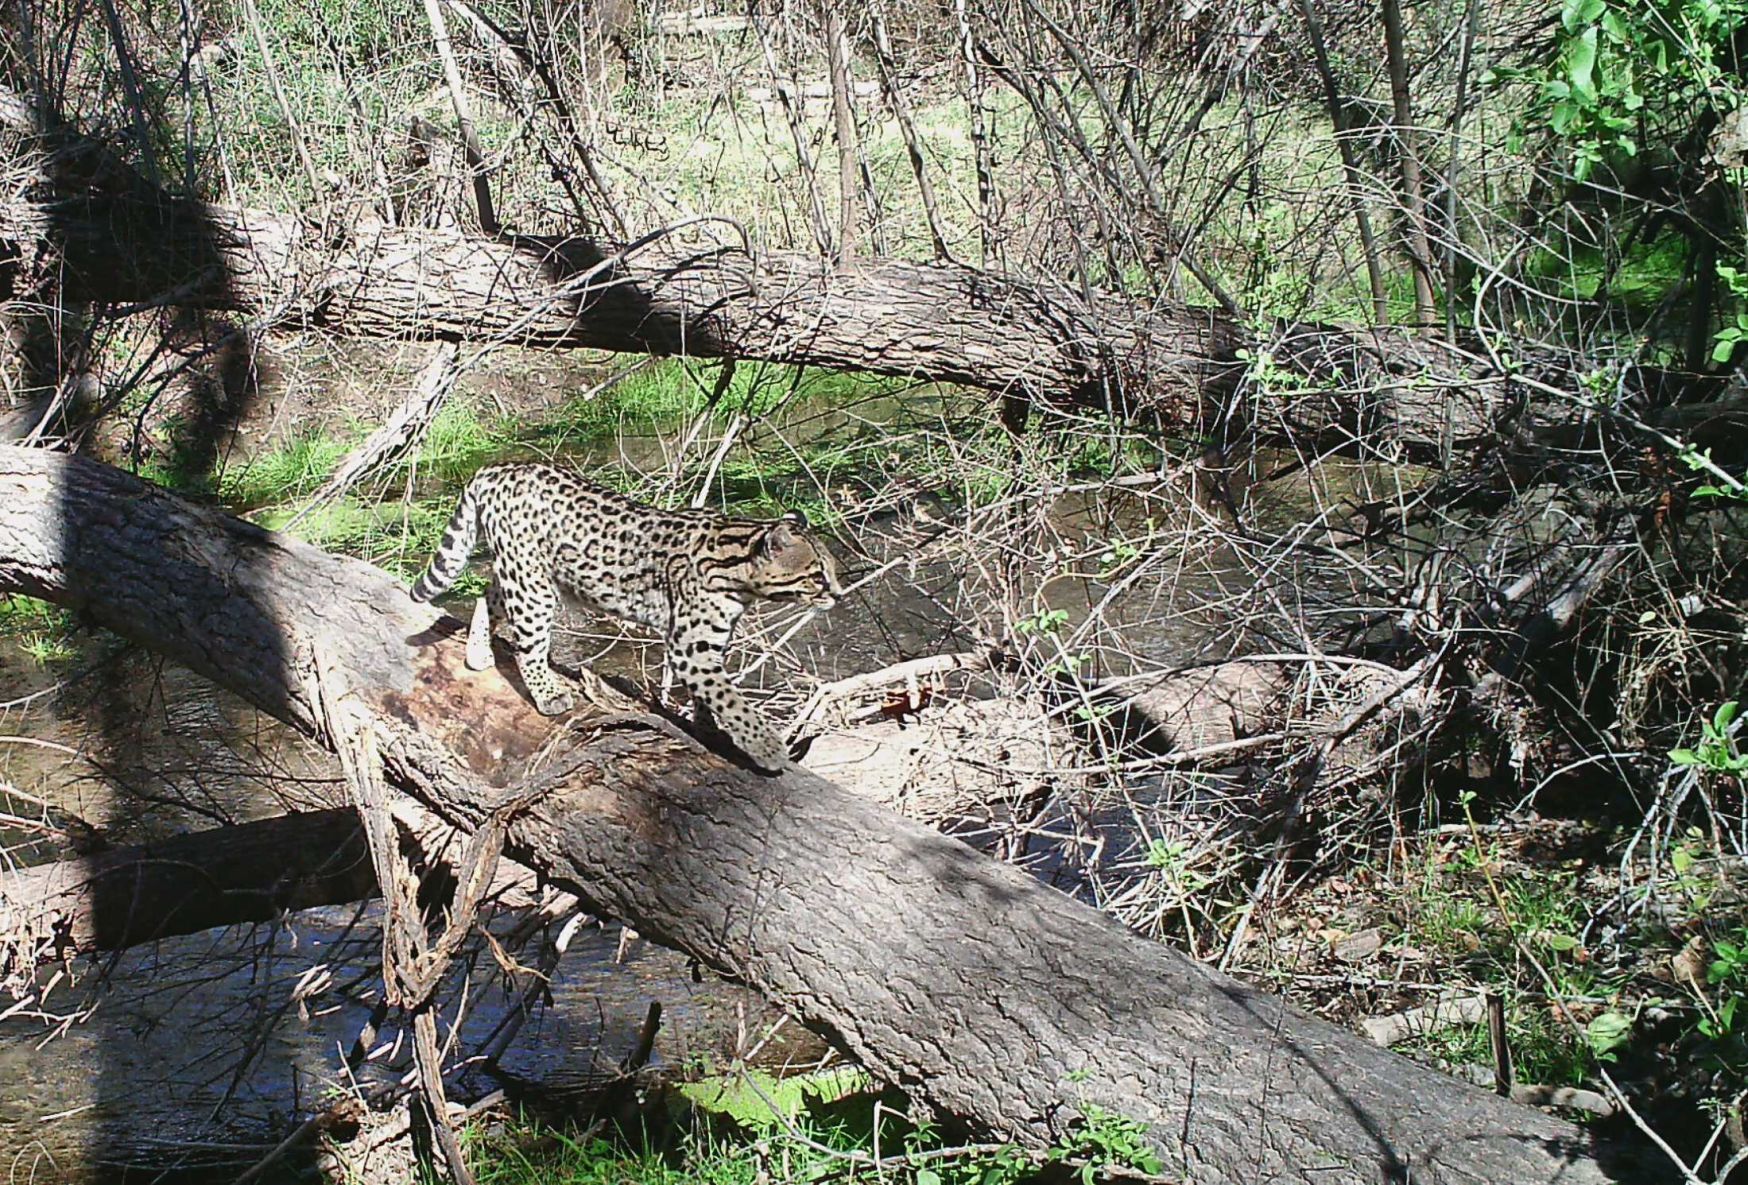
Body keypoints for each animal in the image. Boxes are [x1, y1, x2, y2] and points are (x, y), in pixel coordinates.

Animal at [409, 457, 846, 776]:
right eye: (817, 576)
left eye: (832, 570)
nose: (839, 595)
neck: (737, 566)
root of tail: (500, 467)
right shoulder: (690, 648)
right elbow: (731, 698)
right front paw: (766, 746)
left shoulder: (709, 645)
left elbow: (713, 696)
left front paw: (710, 728)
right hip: (533, 584)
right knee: (527, 644)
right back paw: (547, 692)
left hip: (526, 571)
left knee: (487, 594)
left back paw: (478, 652)